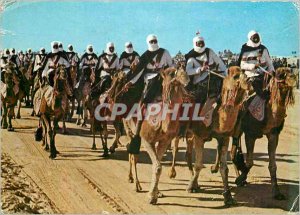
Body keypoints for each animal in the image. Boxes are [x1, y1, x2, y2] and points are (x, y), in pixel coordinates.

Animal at [230, 67, 296, 200]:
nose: (294, 77)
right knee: (231, 152)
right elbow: (250, 161)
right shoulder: (250, 135)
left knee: (234, 151)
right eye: (281, 74)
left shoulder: (273, 134)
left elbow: (273, 165)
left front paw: (277, 192)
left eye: (290, 71)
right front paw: (240, 179)